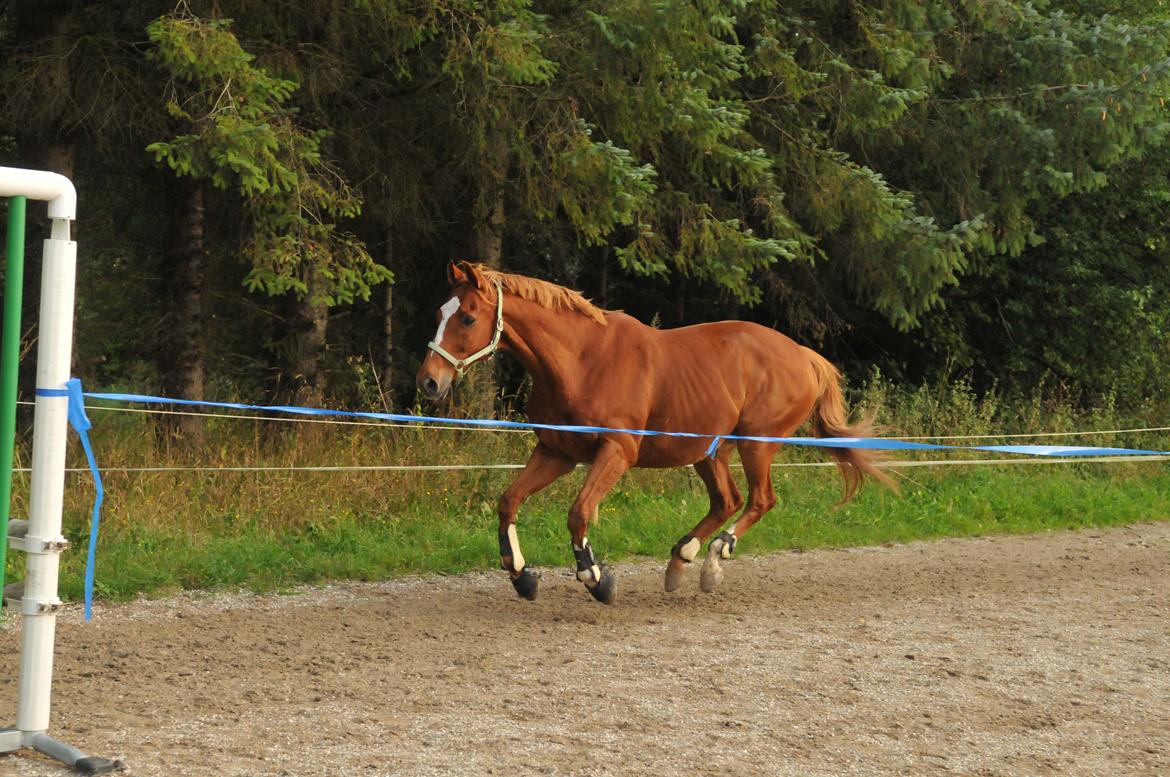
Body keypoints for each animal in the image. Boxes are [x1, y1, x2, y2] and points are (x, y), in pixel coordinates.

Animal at [416, 264, 889, 603]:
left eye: (467, 317)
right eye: (439, 314)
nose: (429, 383)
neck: (581, 360)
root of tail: (804, 355)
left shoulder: (617, 451)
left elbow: (579, 512)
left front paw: (596, 579)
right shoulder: (556, 451)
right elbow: (508, 501)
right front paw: (521, 576)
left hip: (757, 444)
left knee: (759, 500)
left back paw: (714, 560)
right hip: (708, 450)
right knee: (727, 500)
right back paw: (683, 559)